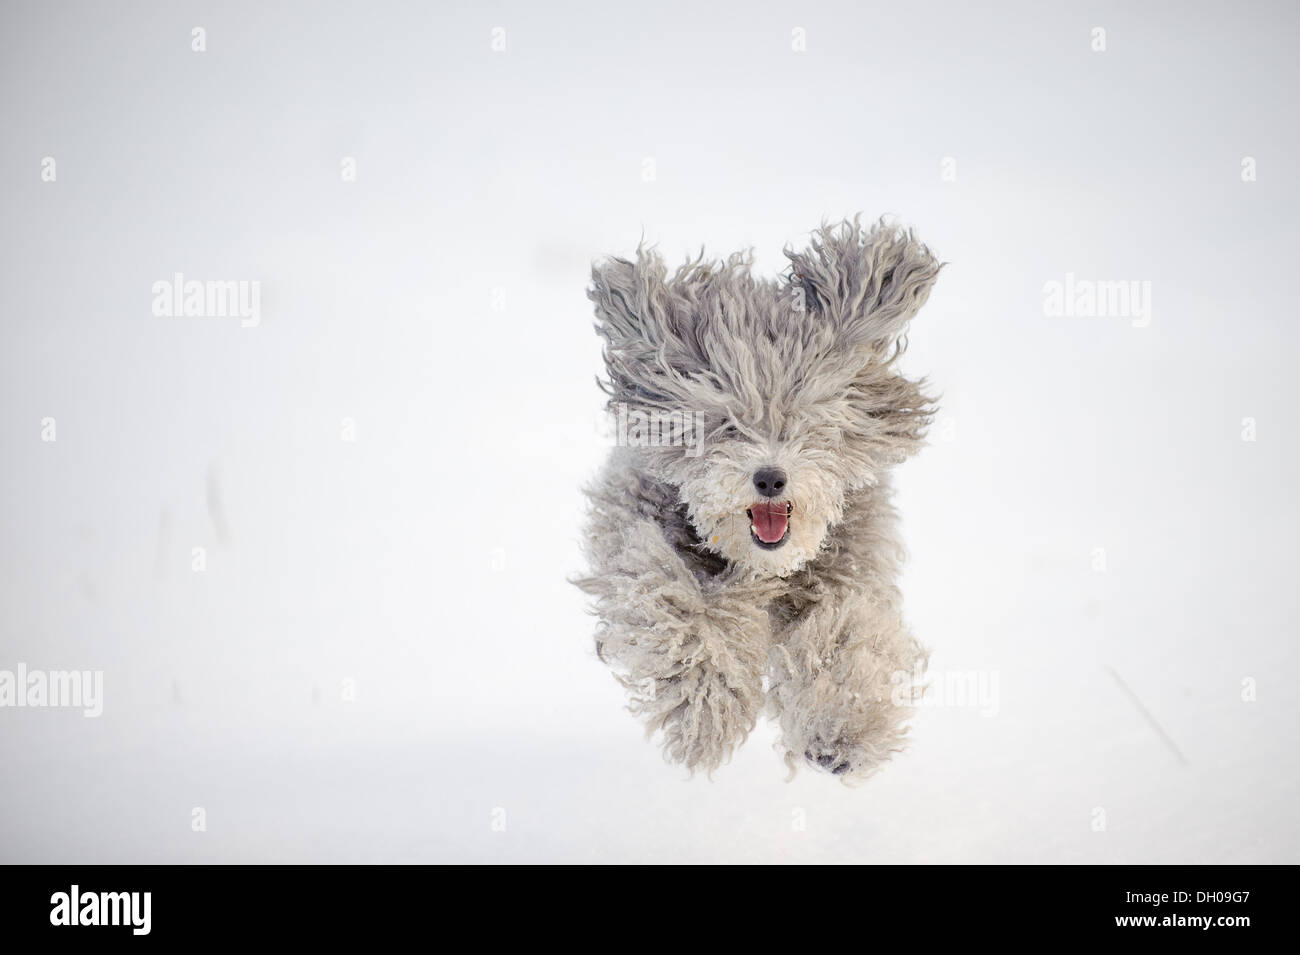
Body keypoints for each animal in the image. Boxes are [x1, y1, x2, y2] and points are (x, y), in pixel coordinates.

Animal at [574, 218, 941, 784]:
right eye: (726, 423)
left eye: (807, 417)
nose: (770, 478)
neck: (760, 566)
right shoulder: (642, 550)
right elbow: (680, 616)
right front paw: (708, 712)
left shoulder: (851, 572)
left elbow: (849, 633)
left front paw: (842, 728)